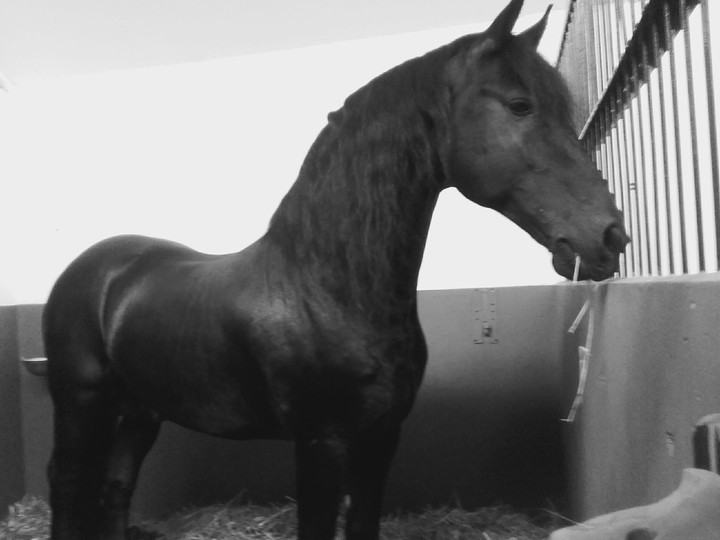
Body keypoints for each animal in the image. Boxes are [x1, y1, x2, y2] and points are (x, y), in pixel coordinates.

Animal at [42, 1, 628, 538]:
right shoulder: (321, 443)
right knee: (66, 483)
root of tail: (93, 268)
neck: (329, 289)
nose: (609, 237)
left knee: (116, 488)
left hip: (139, 411)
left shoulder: (382, 436)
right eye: (519, 105)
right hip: (80, 403)